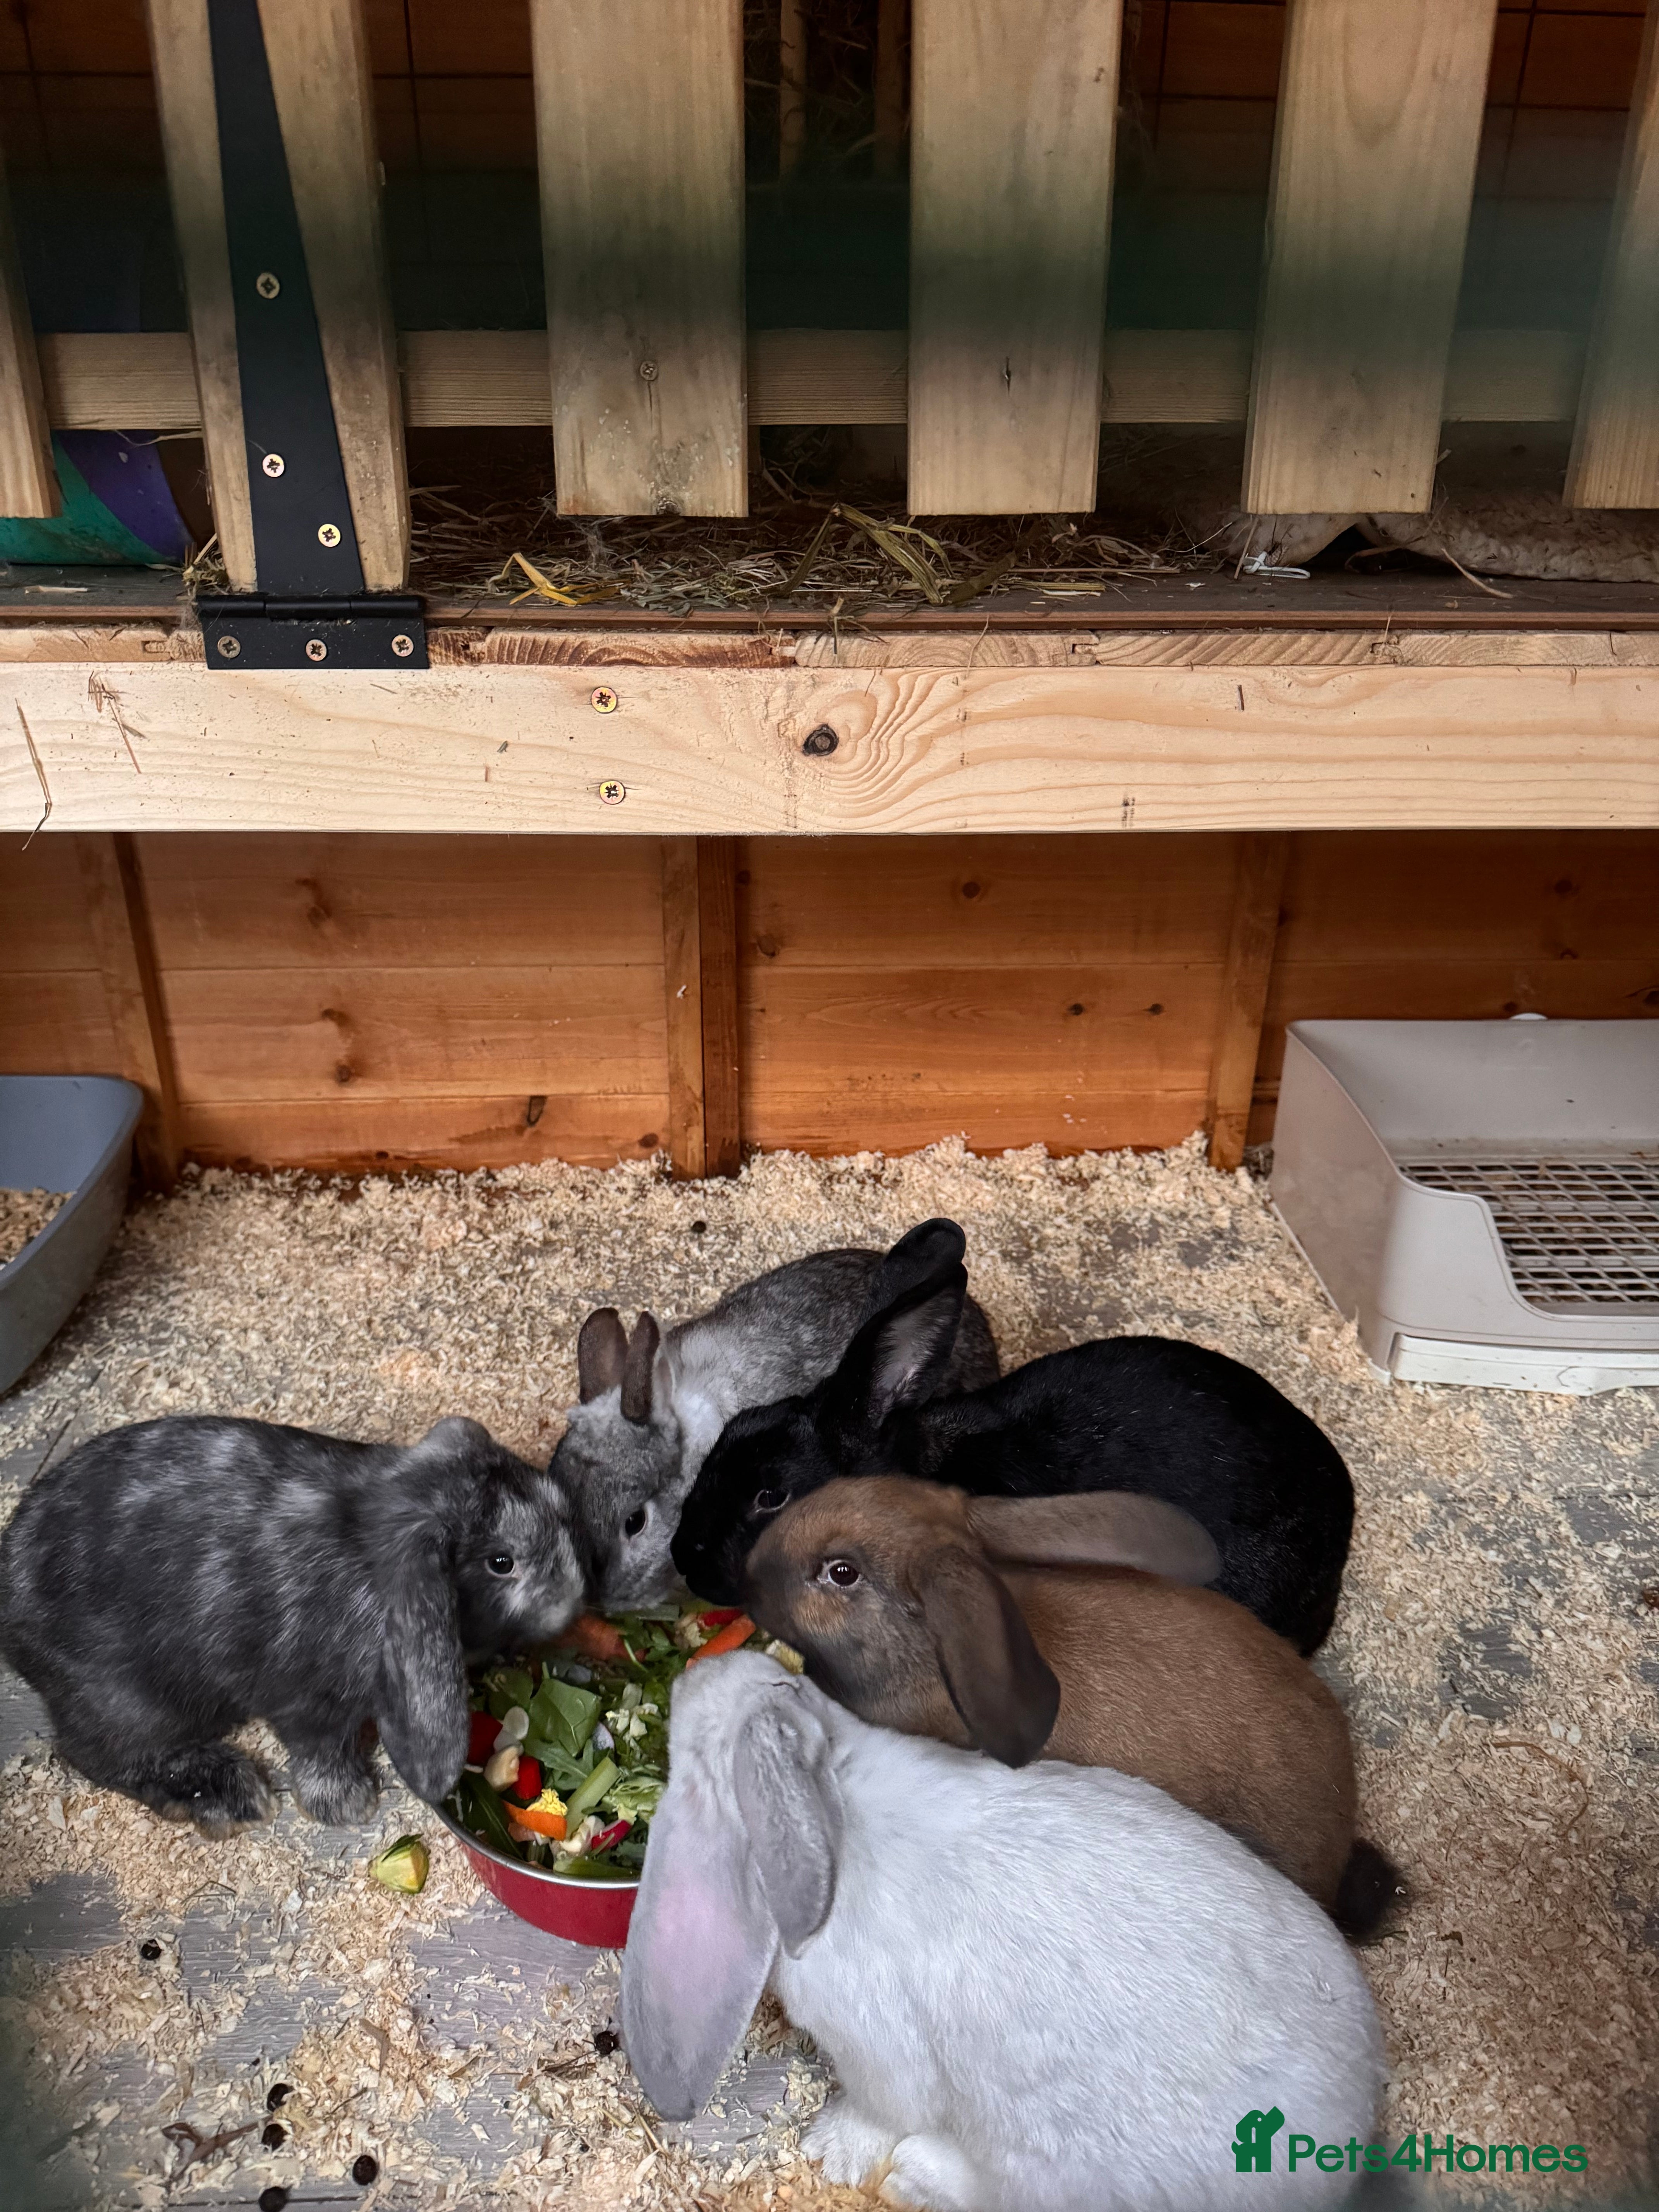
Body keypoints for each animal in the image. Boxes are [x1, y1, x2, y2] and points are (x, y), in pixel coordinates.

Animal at [0, 1413, 583, 1833]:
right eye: (502, 1563)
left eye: (562, 1511)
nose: (575, 1598)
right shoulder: (309, 1704)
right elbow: (320, 1754)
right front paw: (350, 1806)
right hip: (131, 1704)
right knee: (97, 1755)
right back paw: (229, 1796)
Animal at [621, 1651, 1385, 2212]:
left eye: (787, 1682)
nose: (696, 1668)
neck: (839, 1799)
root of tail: (1355, 2138)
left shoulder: (876, 2053)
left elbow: (881, 2108)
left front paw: (830, 2150)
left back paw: (916, 2175)